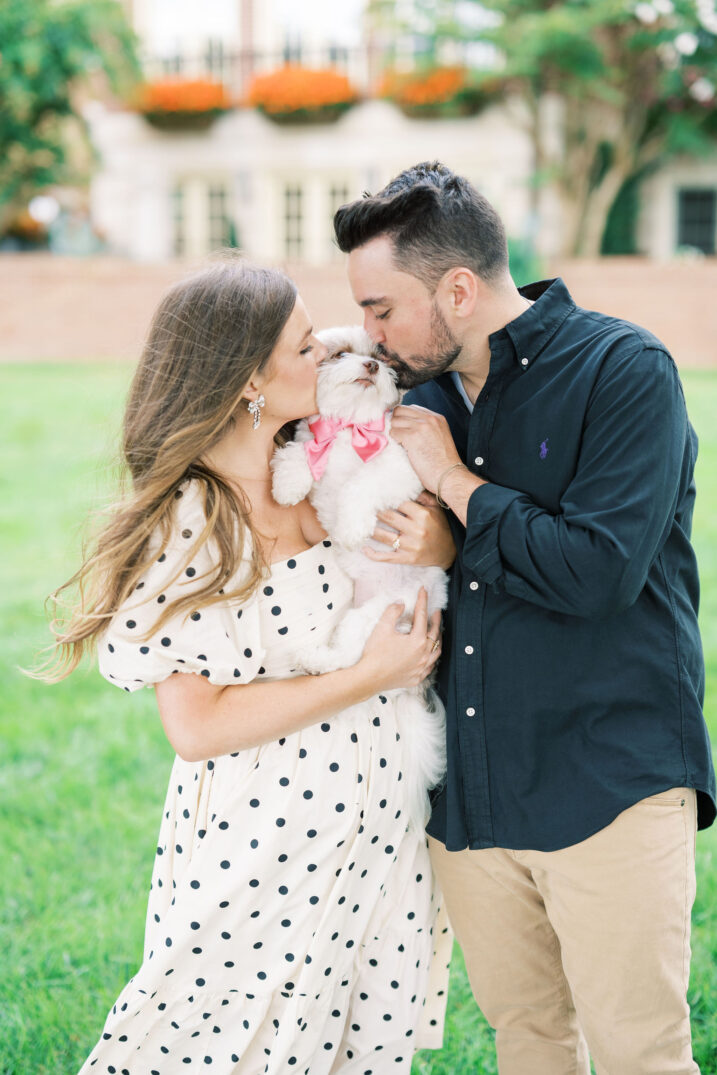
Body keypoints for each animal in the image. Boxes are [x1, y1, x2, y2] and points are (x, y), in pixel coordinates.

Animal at [270, 326, 445, 829]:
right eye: (342, 354)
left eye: (382, 359)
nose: (369, 366)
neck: (349, 429)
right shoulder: (311, 440)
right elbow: (297, 454)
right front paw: (287, 485)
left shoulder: (400, 468)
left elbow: (361, 485)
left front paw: (350, 525)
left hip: (379, 614)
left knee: (350, 658)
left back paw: (317, 659)